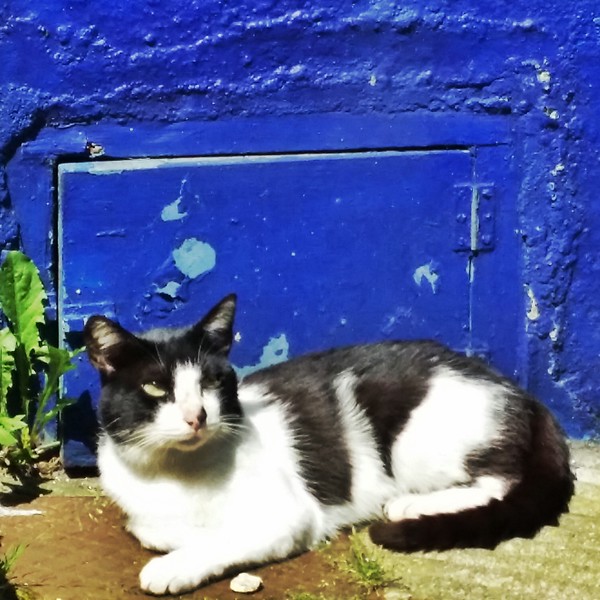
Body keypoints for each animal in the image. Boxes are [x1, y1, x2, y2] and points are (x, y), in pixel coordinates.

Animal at [82, 292, 576, 592]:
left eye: (209, 382)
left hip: (417, 440)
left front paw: (175, 564)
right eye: (155, 387)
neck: (175, 473)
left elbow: (225, 537)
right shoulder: (142, 508)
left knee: (499, 480)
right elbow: (146, 527)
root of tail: (520, 391)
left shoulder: (290, 514)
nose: (196, 416)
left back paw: (410, 505)